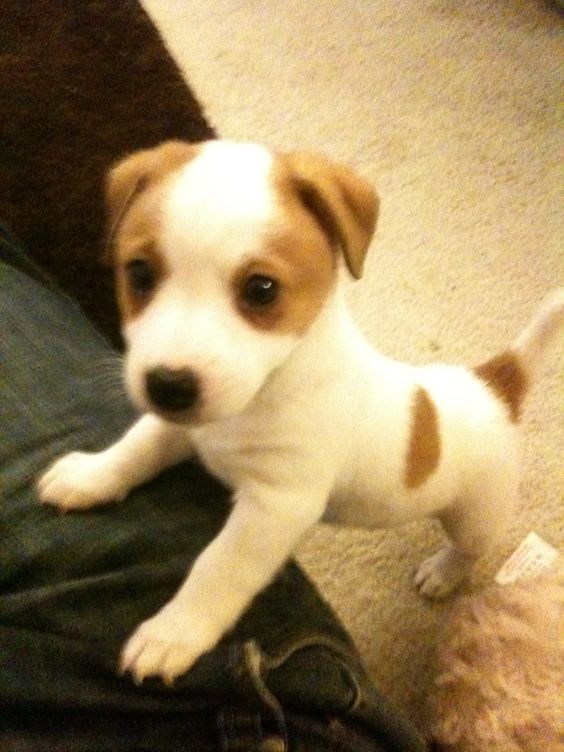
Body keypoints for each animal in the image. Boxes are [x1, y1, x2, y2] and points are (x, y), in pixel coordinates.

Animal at [37, 141, 560, 688]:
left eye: (261, 289)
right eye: (139, 273)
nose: (168, 386)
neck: (263, 393)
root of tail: (494, 382)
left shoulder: (276, 507)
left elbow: (216, 569)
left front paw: (173, 633)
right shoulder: (183, 430)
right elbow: (135, 448)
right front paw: (89, 477)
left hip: (476, 515)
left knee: (470, 548)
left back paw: (443, 572)